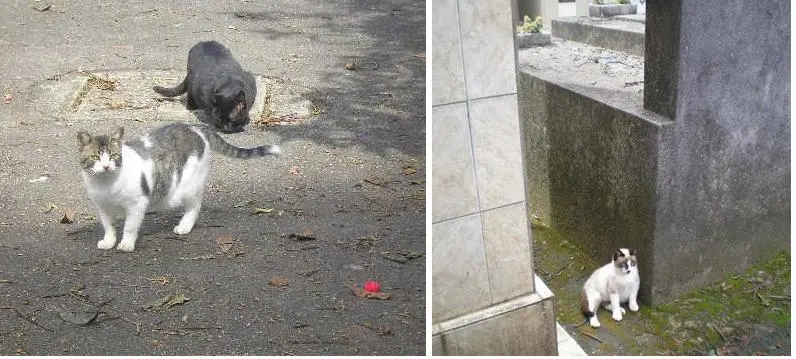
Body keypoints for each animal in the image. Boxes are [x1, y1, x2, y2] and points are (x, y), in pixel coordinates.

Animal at [75, 122, 280, 252]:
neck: (107, 184)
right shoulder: (103, 207)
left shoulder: (137, 204)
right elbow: (108, 226)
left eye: (113, 156)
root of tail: (195, 126)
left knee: (195, 205)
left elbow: (130, 227)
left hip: (185, 188)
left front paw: (126, 244)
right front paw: (109, 241)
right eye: (95, 157)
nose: (106, 166)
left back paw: (184, 226)